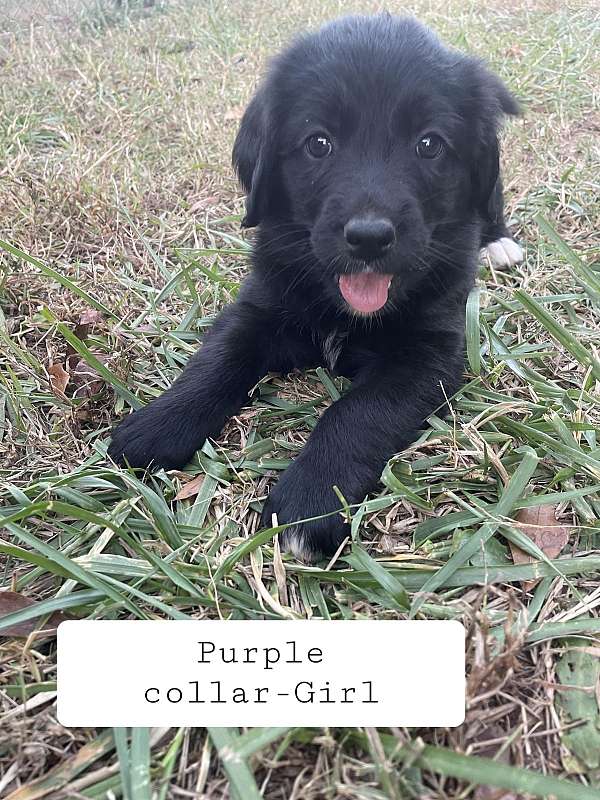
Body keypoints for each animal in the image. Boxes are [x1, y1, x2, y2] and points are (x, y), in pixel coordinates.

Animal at [110, 15, 524, 560]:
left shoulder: (428, 354)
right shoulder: (257, 307)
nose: (369, 237)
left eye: (430, 144)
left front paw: (309, 502)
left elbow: (357, 412)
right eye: (318, 143)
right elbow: (214, 362)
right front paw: (159, 425)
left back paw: (499, 241)